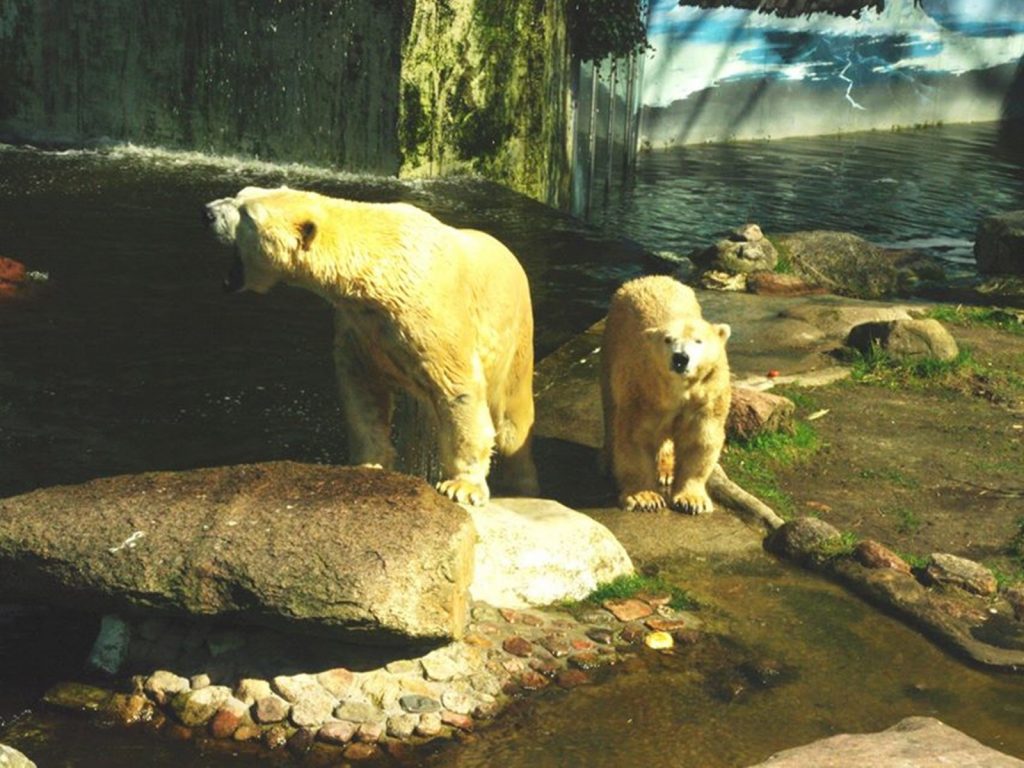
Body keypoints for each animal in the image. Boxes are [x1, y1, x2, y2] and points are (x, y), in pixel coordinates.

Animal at [203, 186, 538, 506]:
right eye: (241, 194)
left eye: (248, 214)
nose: (207, 212)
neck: (380, 262)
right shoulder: (361, 325)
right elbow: (363, 390)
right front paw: (368, 465)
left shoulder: (432, 317)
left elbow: (458, 388)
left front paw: (462, 487)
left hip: (516, 339)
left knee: (513, 421)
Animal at [600, 275, 731, 513]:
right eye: (667, 339)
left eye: (698, 341)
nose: (680, 358)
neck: (679, 389)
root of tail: (647, 278)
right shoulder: (642, 392)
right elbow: (634, 438)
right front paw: (645, 498)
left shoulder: (706, 397)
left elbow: (700, 440)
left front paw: (693, 501)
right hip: (611, 344)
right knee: (610, 408)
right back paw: (606, 461)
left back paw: (666, 470)